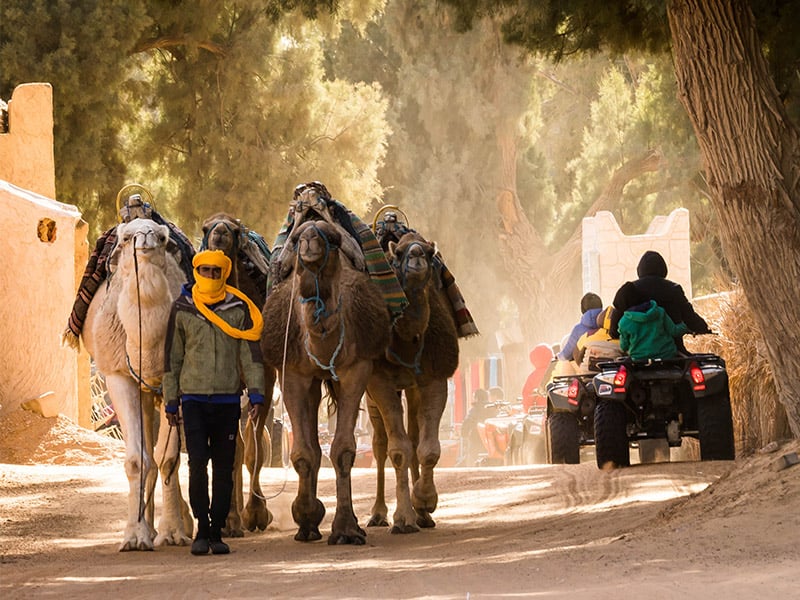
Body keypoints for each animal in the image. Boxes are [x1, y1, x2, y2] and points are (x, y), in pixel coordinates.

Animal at [81, 218, 195, 552]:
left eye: (162, 237)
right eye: (126, 237)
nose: (144, 238)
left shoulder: (173, 382)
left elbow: (169, 458)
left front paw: (174, 532)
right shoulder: (118, 375)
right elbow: (136, 460)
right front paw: (134, 535)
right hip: (142, 392)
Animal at [260, 219, 390, 544]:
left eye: (331, 237)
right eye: (296, 239)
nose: (309, 239)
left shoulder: (356, 368)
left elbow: (343, 449)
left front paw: (345, 528)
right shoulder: (292, 373)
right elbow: (303, 453)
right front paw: (306, 519)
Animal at [366, 232, 460, 532]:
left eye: (430, 254)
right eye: (397, 256)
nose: (417, 255)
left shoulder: (435, 377)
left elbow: (427, 449)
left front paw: (425, 501)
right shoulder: (379, 381)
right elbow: (397, 450)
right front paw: (403, 518)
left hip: (412, 388)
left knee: (414, 435)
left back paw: (423, 515)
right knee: (379, 444)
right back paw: (378, 513)